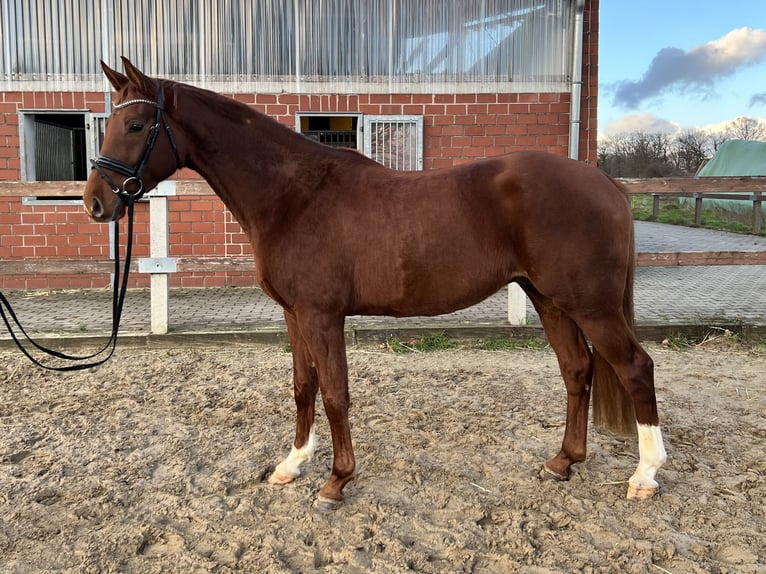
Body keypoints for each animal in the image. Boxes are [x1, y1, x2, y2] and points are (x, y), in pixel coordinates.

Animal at [87, 57, 668, 508]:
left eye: (136, 126)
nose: (96, 202)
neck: (293, 194)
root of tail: (605, 182)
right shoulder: (294, 314)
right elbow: (303, 387)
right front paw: (292, 464)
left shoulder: (322, 315)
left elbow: (335, 393)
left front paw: (336, 482)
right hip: (549, 300)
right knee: (577, 370)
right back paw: (563, 461)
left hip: (591, 305)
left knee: (635, 368)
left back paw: (644, 476)